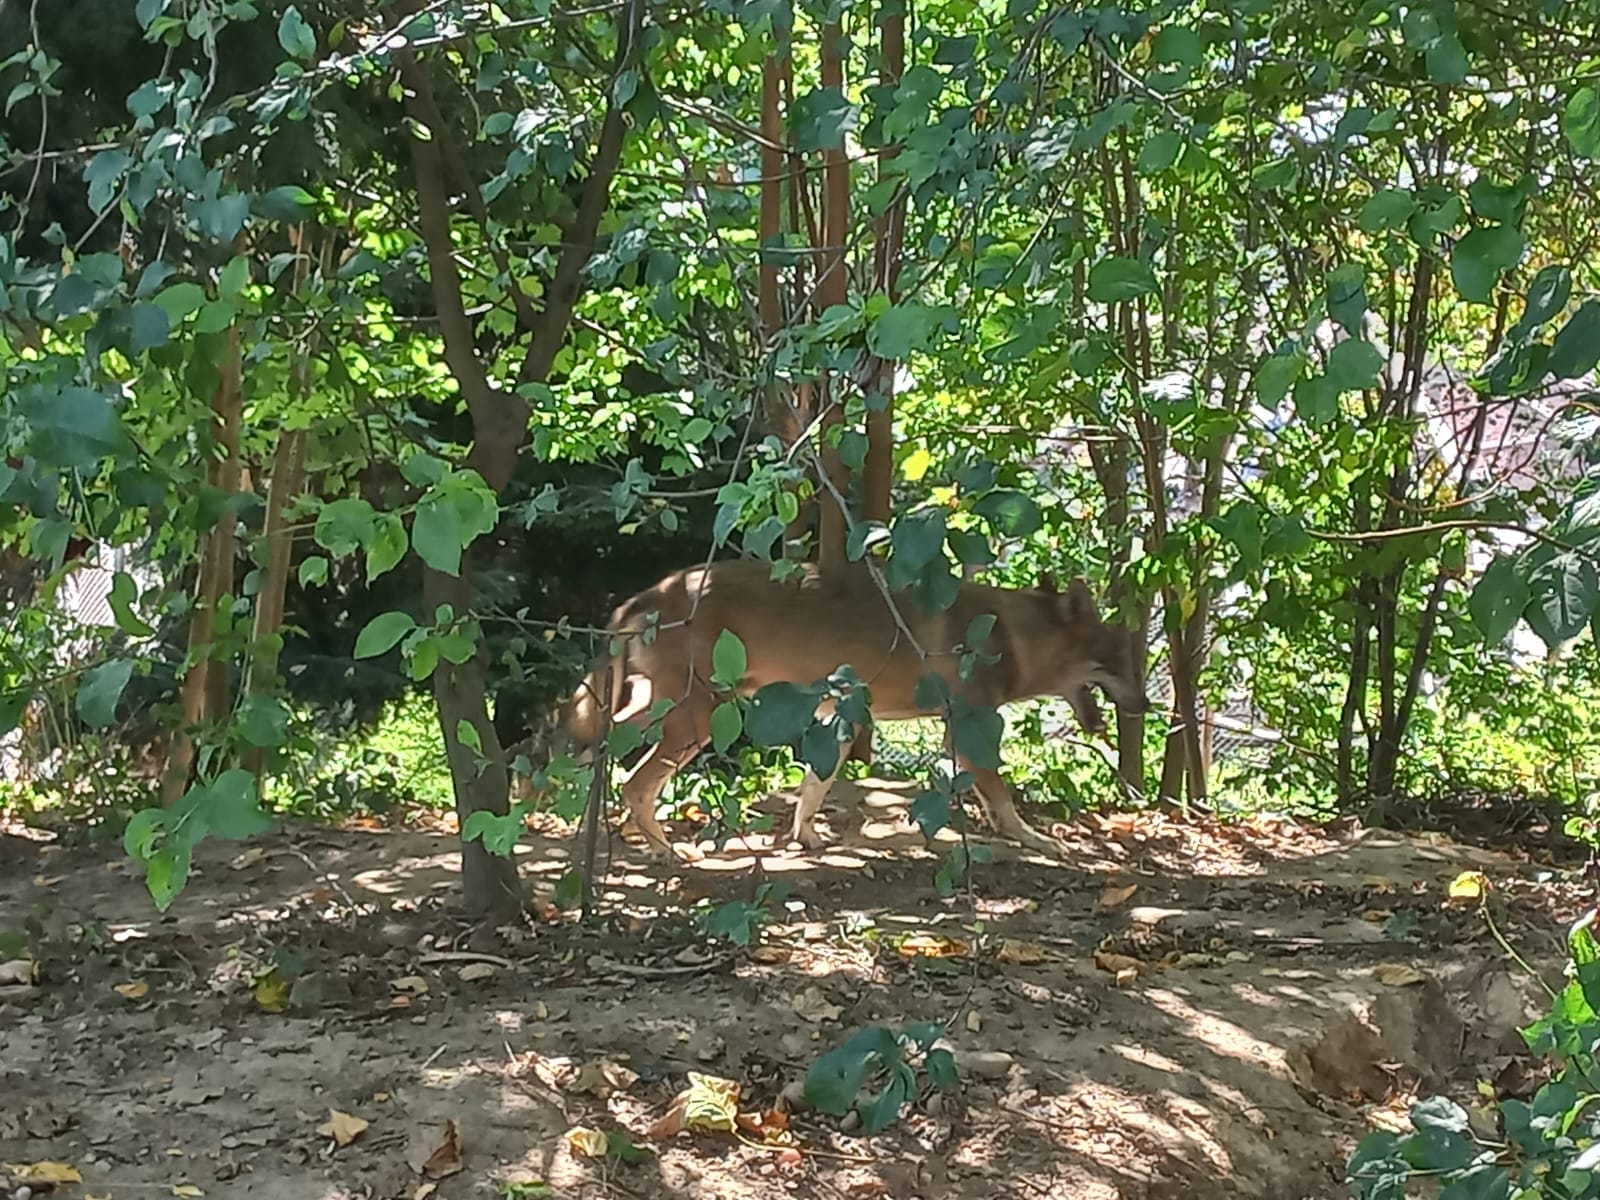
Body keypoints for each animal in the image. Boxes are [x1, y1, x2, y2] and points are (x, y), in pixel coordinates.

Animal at [556, 563, 1145, 857]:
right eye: (1117, 661)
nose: (1143, 706)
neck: (1012, 635)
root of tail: (643, 595)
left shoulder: (841, 713)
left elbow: (814, 789)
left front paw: (806, 838)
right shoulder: (966, 730)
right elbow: (1002, 799)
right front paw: (1032, 839)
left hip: (665, 711)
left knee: (595, 748)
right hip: (696, 719)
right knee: (632, 780)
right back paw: (666, 852)